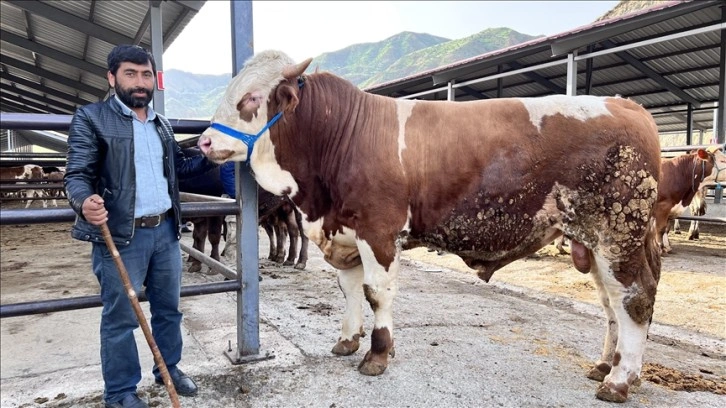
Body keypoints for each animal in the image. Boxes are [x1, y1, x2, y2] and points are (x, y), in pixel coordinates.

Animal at [198, 50, 664, 402]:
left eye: (250, 98)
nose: (203, 140)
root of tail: (625, 103)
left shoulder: (379, 230)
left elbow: (376, 293)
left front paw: (377, 355)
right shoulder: (345, 232)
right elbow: (349, 290)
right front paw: (347, 340)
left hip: (617, 233)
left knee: (634, 299)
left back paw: (619, 381)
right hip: (594, 243)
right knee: (611, 304)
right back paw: (607, 365)